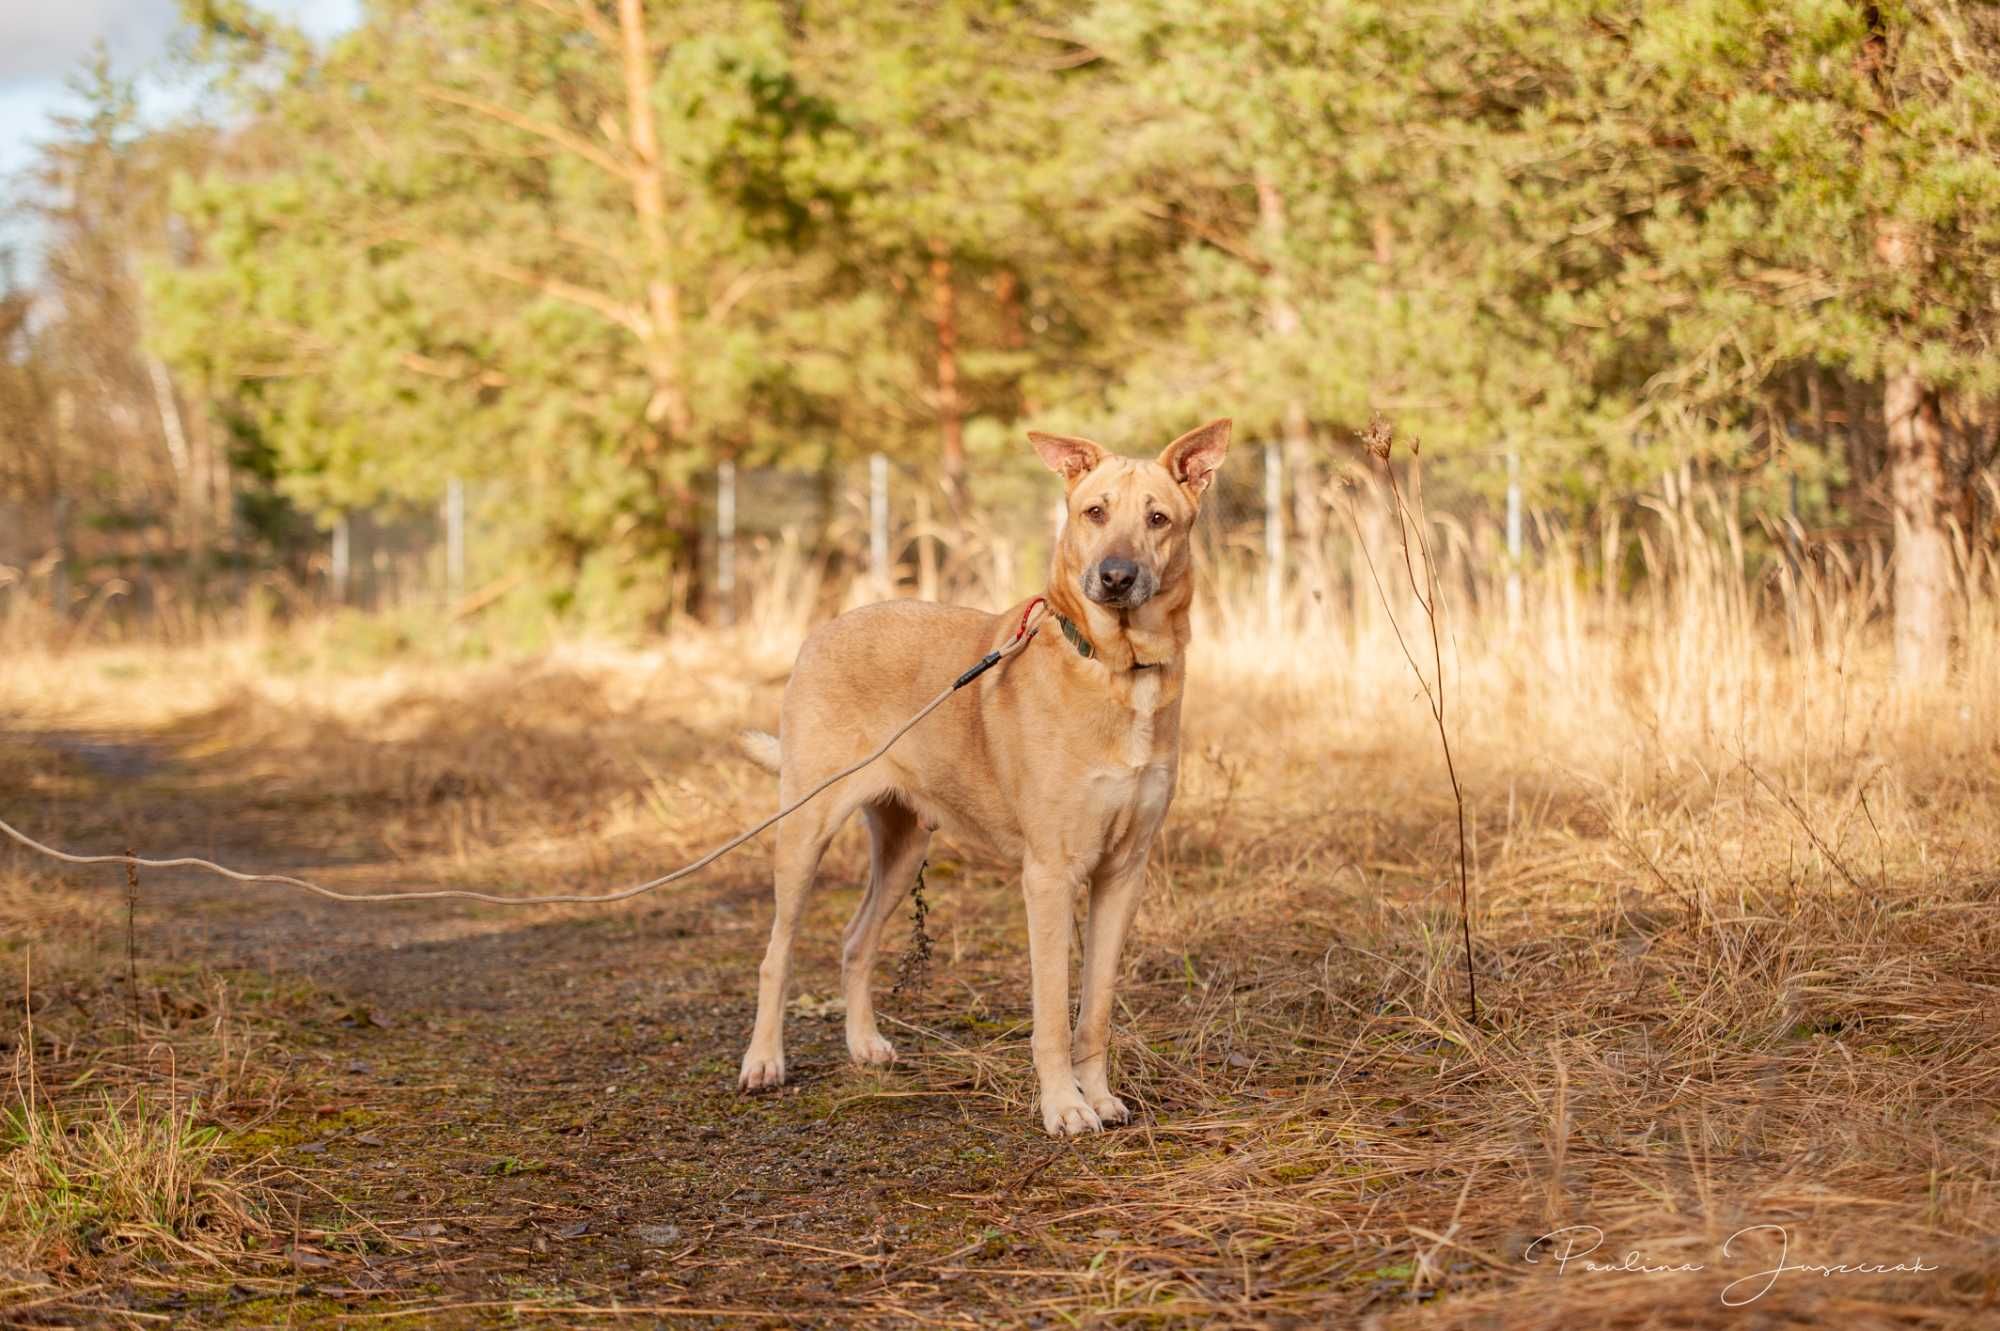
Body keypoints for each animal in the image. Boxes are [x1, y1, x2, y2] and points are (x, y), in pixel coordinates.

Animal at [740, 415, 1224, 1127]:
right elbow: (1051, 1014)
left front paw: (1100, 1095)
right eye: (1095, 512)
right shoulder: (1049, 876)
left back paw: (864, 1044)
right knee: (776, 954)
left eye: (1157, 518)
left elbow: (1095, 1008)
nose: (1115, 576)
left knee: (856, 942)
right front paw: (1064, 1107)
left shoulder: (1123, 874)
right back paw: (763, 1062)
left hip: (905, 849)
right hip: (804, 833)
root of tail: (824, 629)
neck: (1117, 668)